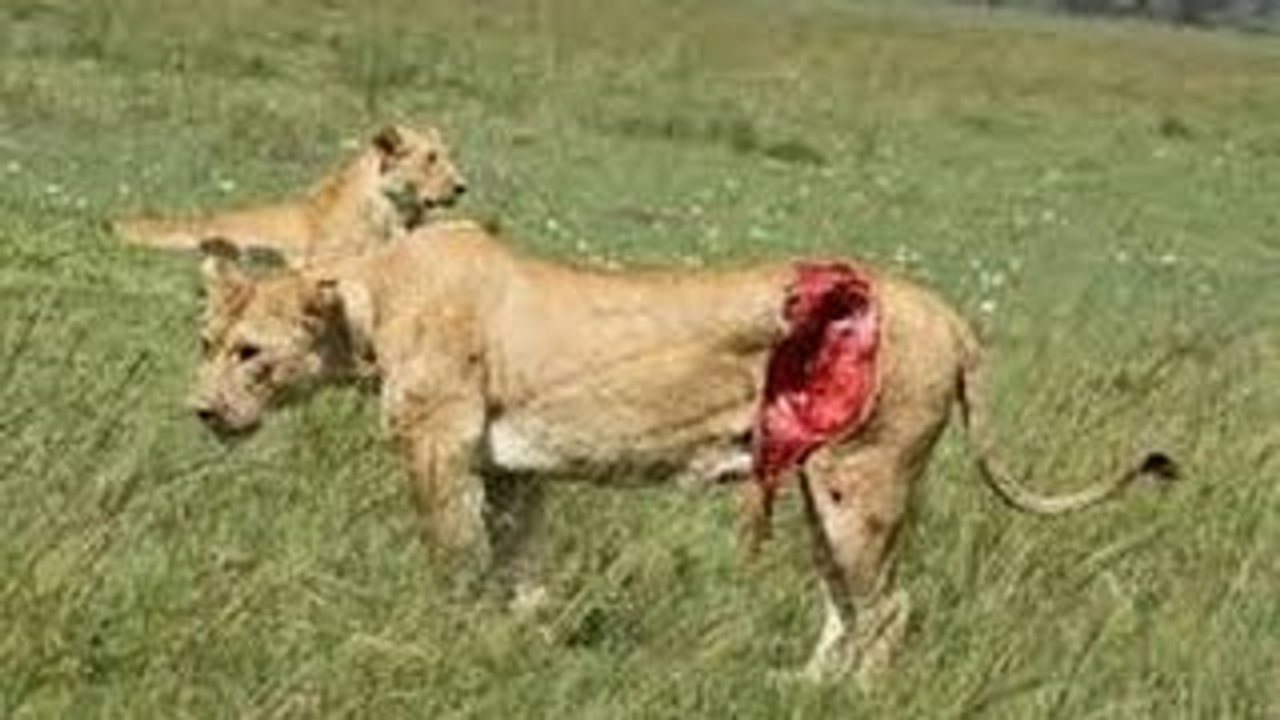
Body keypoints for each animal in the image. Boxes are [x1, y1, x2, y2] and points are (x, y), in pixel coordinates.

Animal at [112, 124, 467, 264]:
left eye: (448, 155)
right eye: (431, 158)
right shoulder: (325, 256)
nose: (462, 187)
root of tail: (197, 221)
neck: (396, 209)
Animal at [187, 221, 1176, 684]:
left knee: (889, 609)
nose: (198, 409)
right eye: (205, 341)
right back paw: (795, 685)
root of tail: (956, 320)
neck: (369, 301)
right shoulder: (512, 470)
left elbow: (456, 564)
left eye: (250, 353)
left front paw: (441, 643)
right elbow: (519, 571)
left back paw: (847, 695)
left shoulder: (438, 451)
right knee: (845, 603)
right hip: (822, 486)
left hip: (862, 475)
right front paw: (522, 643)